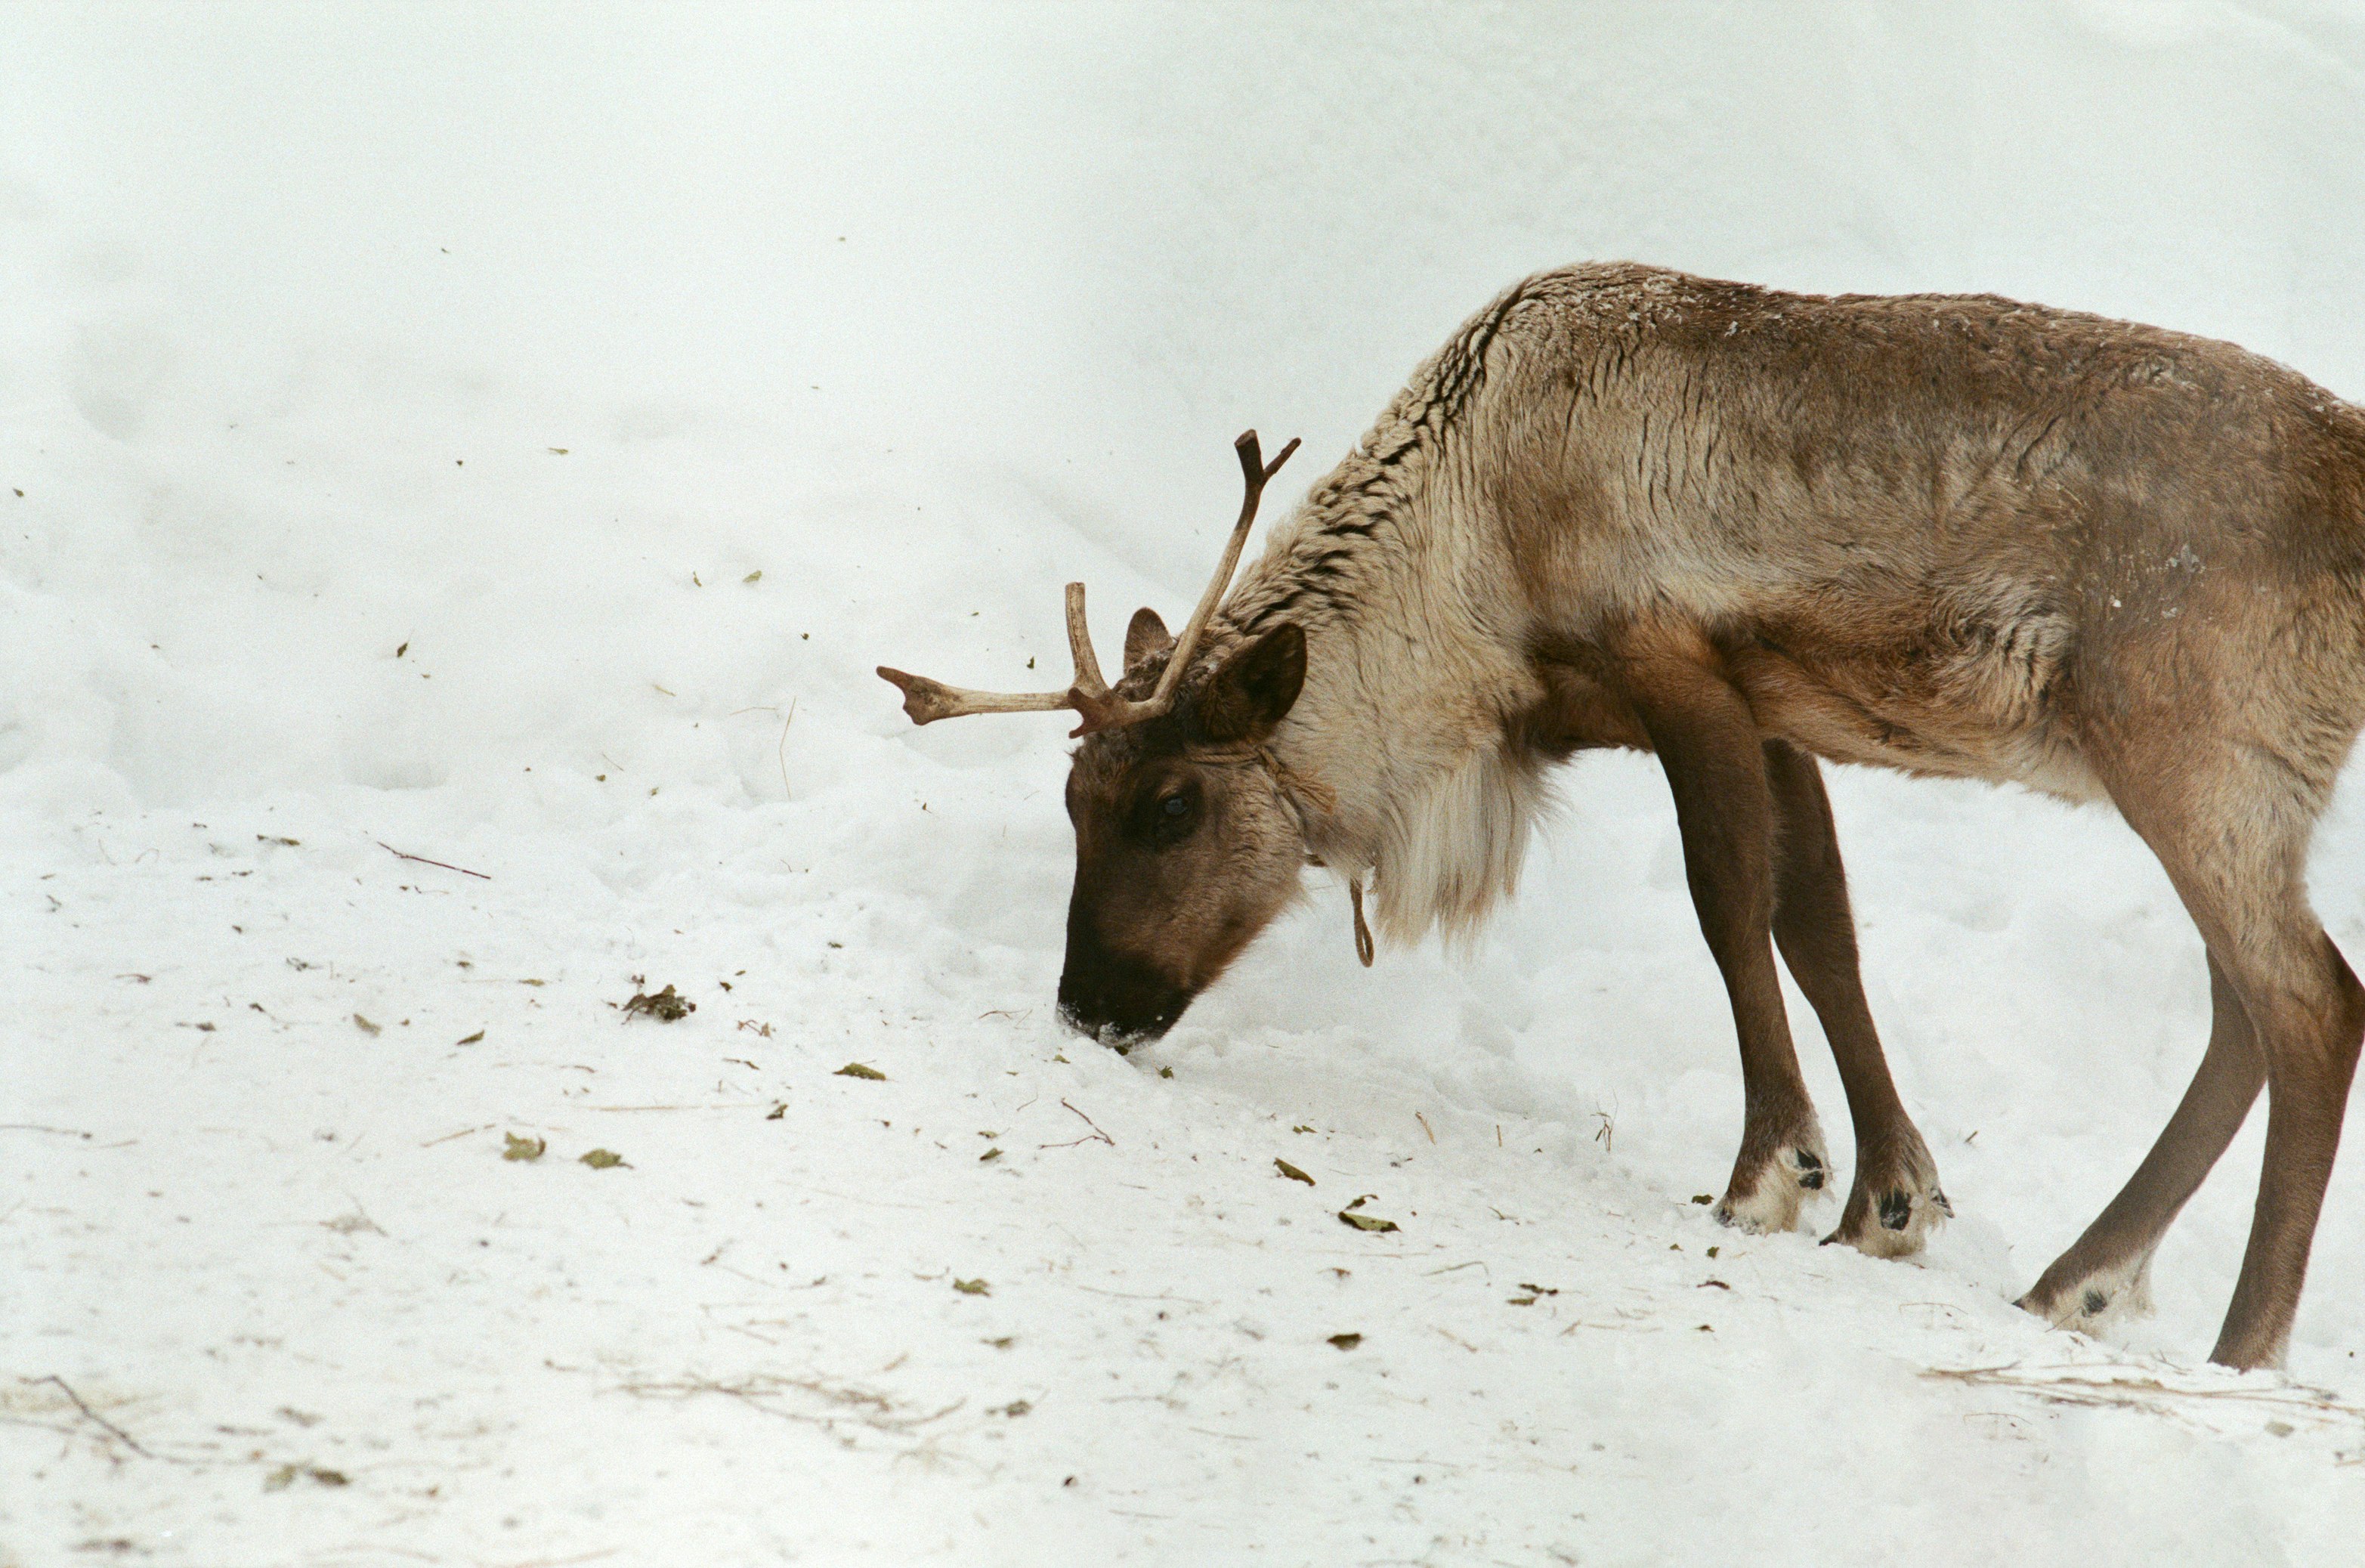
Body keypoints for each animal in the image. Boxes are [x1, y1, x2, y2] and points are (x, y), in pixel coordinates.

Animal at [884, 263, 2365, 1372]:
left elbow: (1730, 906)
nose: (1088, 1001)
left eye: (1174, 802)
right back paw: (2078, 1282)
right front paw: (1889, 1198)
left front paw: (1770, 1175)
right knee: (2241, 1010)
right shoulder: (1773, 710)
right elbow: (1820, 925)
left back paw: (2240, 1347)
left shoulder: (1678, 662)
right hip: (2223, 788)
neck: (1473, 566)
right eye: (1073, 798)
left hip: (2199, 755)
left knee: (2308, 1002)